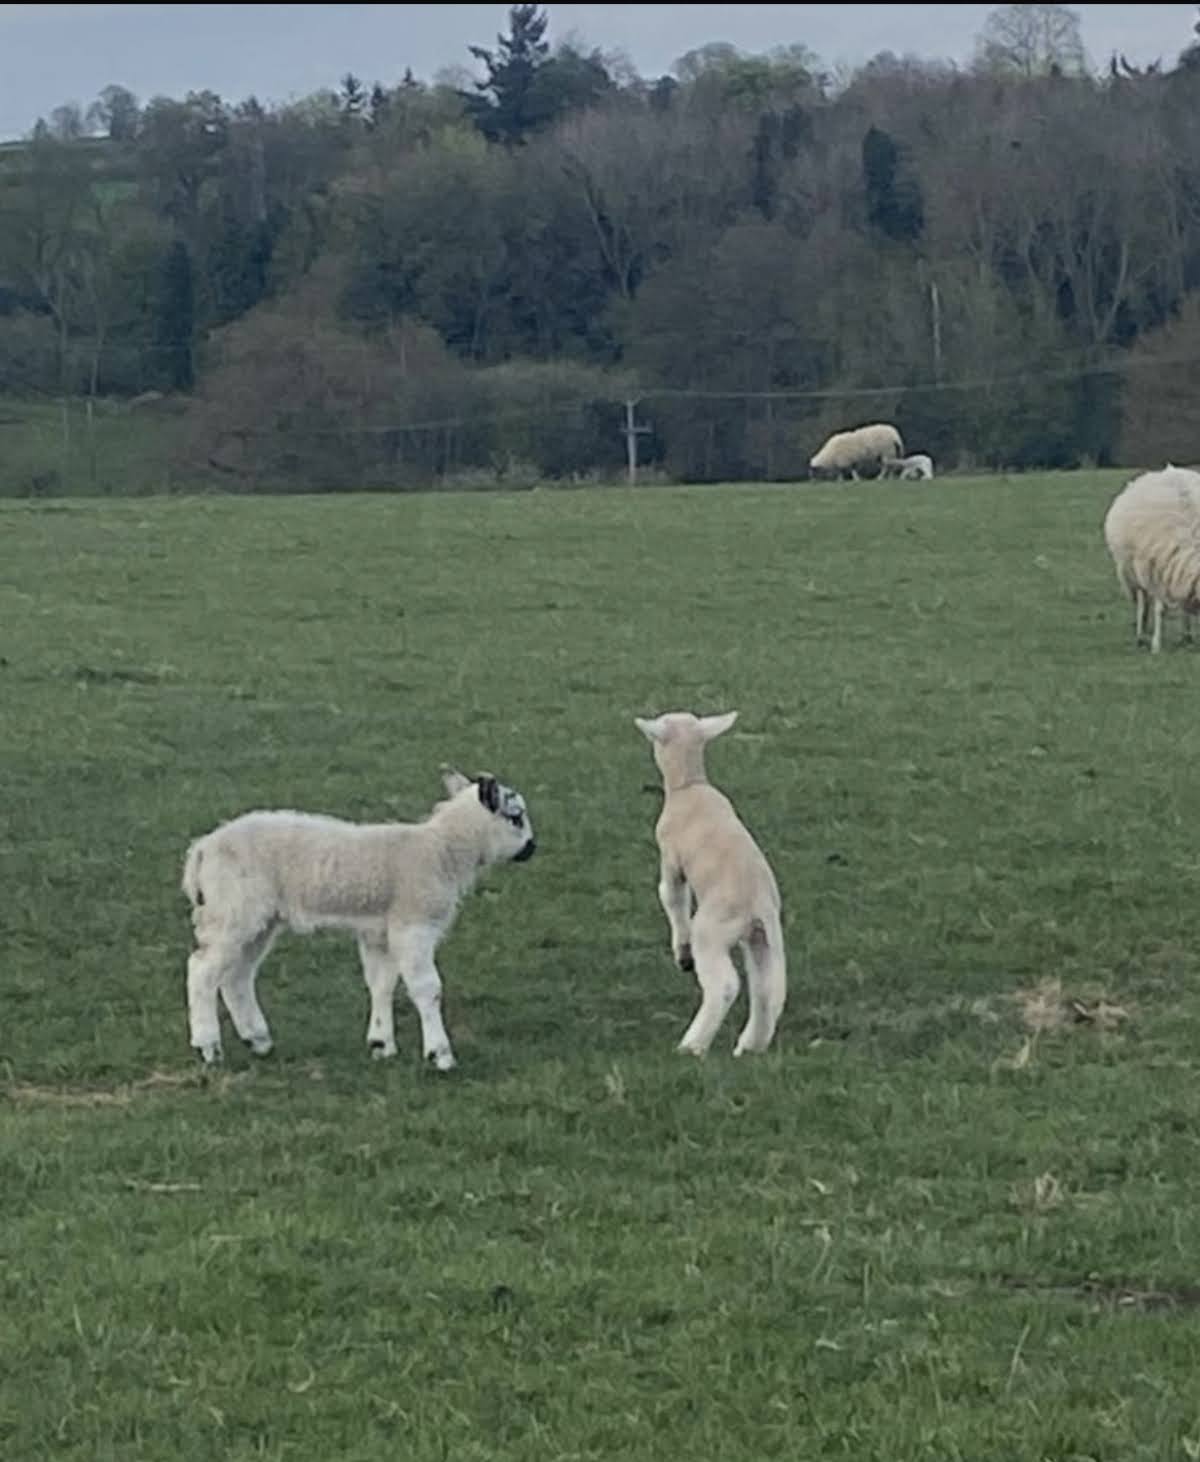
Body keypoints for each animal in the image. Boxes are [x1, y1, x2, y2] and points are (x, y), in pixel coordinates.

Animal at [181, 768, 536, 1067]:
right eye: (516, 817)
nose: (533, 848)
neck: (443, 851)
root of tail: (202, 849)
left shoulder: (378, 931)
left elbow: (381, 983)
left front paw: (381, 1044)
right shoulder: (413, 924)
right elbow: (427, 987)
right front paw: (440, 1054)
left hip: (257, 919)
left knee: (236, 976)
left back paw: (257, 1039)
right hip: (232, 911)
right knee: (201, 970)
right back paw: (208, 1046)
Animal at [634, 710, 786, 1058]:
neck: (689, 785)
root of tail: (757, 903)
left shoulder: (670, 858)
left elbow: (671, 897)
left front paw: (682, 953)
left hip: (711, 930)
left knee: (726, 985)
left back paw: (692, 1044)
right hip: (761, 939)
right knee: (765, 987)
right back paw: (751, 1044)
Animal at [1103, 464, 1200, 653]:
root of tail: (1167, 470)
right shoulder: (1156, 570)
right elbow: (1160, 609)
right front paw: (1156, 645)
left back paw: (1186, 637)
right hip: (1135, 570)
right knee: (1142, 603)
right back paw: (1141, 636)